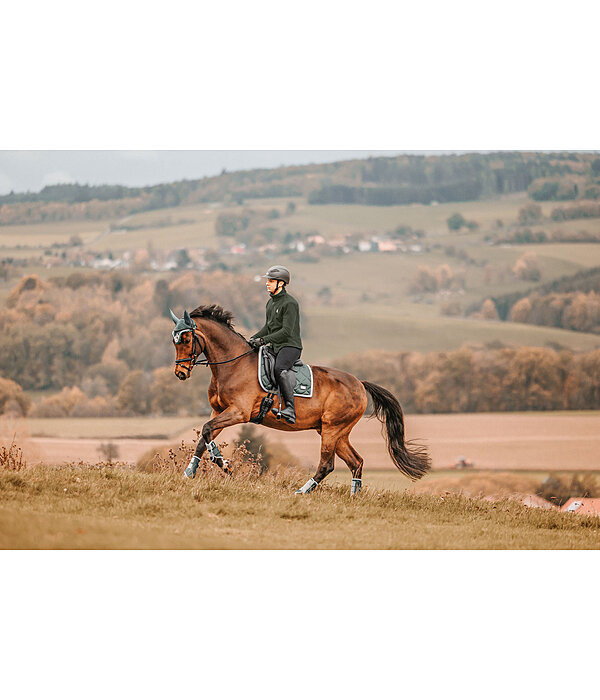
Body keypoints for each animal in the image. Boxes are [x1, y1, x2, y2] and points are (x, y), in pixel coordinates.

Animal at [171, 304, 428, 494]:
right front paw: (190, 471)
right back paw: (354, 496)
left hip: (332, 429)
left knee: (327, 464)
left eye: (186, 340)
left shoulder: (238, 412)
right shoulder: (218, 410)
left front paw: (225, 465)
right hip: (336, 432)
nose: (180, 373)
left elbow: (206, 430)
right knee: (356, 462)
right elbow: (204, 436)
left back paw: (303, 491)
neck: (233, 365)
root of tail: (360, 384)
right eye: (174, 341)